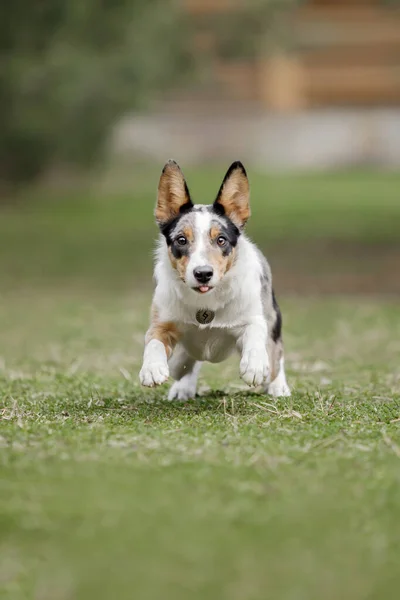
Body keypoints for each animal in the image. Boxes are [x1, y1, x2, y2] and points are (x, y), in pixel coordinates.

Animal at [140, 159, 290, 398]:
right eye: (181, 240)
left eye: (221, 240)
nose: (203, 274)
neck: (206, 303)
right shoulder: (162, 322)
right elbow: (153, 340)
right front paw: (152, 369)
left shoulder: (254, 317)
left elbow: (255, 331)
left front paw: (255, 366)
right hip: (182, 358)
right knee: (185, 365)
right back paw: (182, 388)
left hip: (273, 321)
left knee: (276, 357)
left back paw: (278, 385)